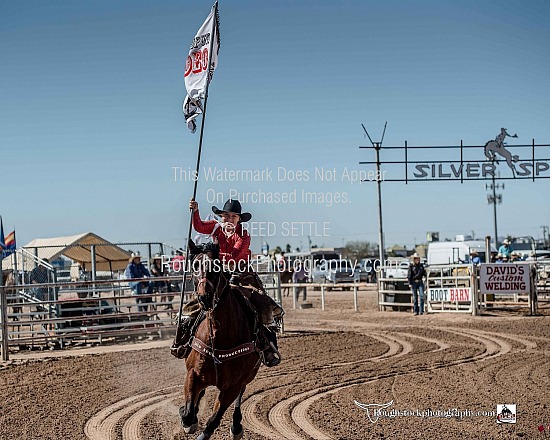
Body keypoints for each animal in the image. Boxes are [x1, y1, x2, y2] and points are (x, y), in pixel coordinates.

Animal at [179, 241, 260, 440]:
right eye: (195, 266)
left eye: (216, 268)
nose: (205, 298)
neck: (219, 336)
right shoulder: (193, 373)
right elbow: (188, 412)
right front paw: (188, 419)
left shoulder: (232, 386)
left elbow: (214, 419)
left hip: (248, 375)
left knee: (240, 396)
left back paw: (236, 426)